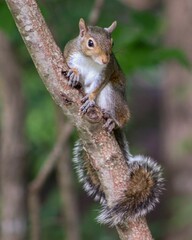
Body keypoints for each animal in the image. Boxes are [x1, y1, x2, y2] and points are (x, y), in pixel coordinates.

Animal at [62, 18, 164, 227]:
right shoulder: (70, 52)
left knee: (120, 116)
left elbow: (98, 85)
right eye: (90, 43)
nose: (105, 59)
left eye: (113, 43)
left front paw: (90, 98)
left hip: (114, 96)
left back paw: (111, 120)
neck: (90, 61)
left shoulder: (106, 72)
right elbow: (71, 64)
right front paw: (74, 73)